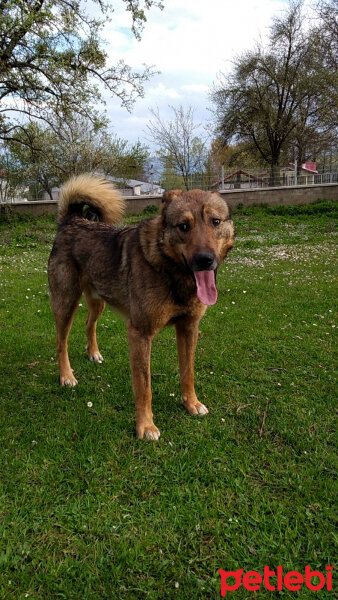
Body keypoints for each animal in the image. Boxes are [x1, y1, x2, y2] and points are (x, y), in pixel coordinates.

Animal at [48, 173, 235, 440]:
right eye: (183, 226)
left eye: (215, 221)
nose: (205, 261)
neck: (171, 270)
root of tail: (72, 221)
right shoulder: (140, 335)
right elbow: (144, 387)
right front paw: (145, 426)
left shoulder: (189, 329)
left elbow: (187, 372)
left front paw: (191, 404)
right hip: (66, 303)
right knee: (60, 342)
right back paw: (66, 376)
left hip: (98, 301)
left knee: (88, 323)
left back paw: (93, 353)